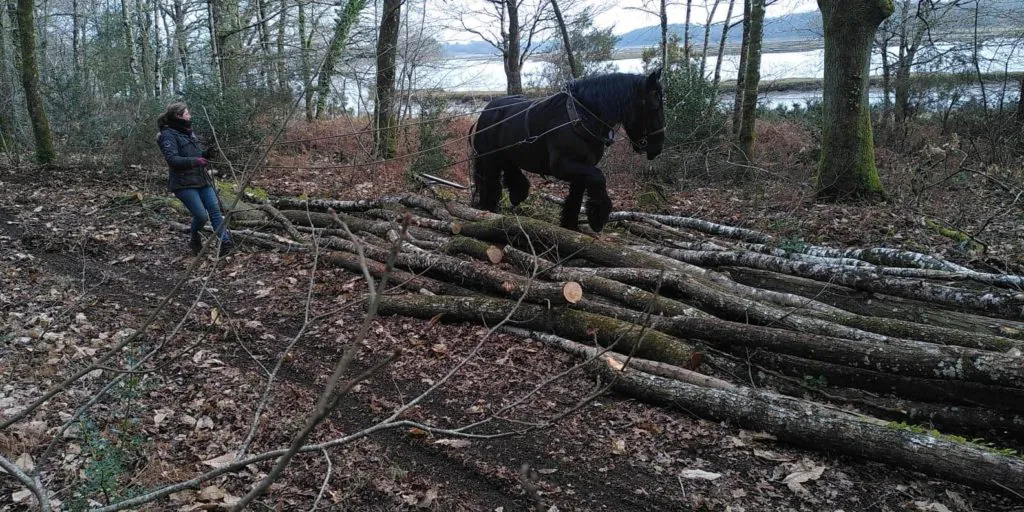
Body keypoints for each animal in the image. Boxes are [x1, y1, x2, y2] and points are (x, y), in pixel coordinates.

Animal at [468, 69, 663, 233]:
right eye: (655, 106)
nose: (657, 149)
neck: (580, 118)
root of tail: (486, 111)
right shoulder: (563, 167)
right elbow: (599, 177)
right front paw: (598, 216)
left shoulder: (583, 169)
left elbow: (576, 198)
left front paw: (571, 225)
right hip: (490, 160)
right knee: (490, 186)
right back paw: (488, 208)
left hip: (506, 155)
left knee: (510, 172)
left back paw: (517, 193)